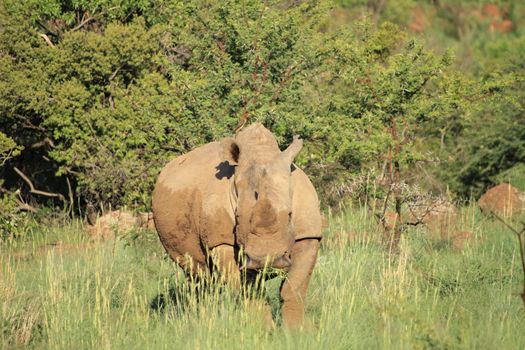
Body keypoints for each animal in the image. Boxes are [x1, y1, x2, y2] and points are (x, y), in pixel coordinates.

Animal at [151, 123, 322, 328]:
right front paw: (263, 330)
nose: (266, 261)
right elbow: (251, 291)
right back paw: (202, 321)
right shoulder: (221, 240)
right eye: (238, 217)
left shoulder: (309, 234)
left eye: (290, 215)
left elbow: (293, 289)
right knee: (198, 275)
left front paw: (296, 331)